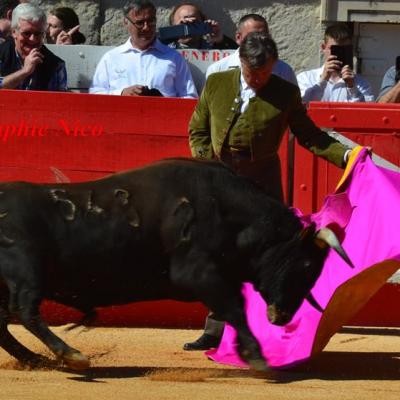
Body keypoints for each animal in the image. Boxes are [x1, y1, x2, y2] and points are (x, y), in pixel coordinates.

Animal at [0, 158, 352, 370]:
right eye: (305, 265)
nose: (283, 316)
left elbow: (231, 309)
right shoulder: (199, 274)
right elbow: (235, 309)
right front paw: (256, 355)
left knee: (6, 324)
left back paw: (34, 359)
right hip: (27, 270)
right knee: (26, 311)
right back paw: (71, 355)